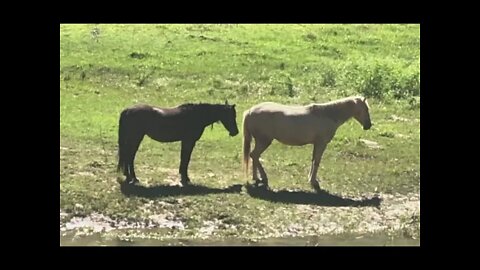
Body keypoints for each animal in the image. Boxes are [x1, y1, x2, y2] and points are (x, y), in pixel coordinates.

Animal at [244, 96, 372, 192]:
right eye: (366, 109)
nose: (368, 125)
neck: (328, 114)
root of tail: (250, 111)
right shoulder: (321, 144)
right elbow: (317, 162)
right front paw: (314, 182)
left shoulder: (316, 144)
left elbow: (313, 160)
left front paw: (311, 179)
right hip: (264, 141)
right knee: (254, 155)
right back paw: (262, 178)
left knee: (254, 156)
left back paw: (257, 178)